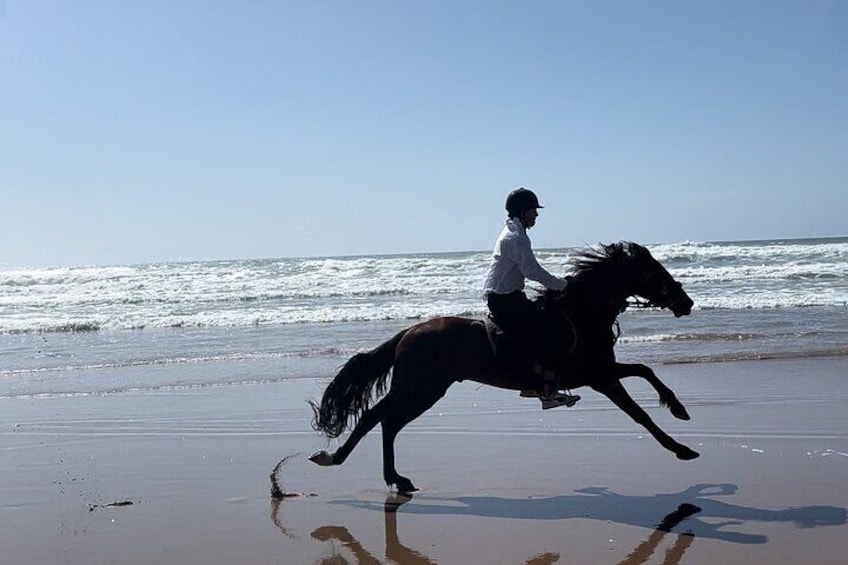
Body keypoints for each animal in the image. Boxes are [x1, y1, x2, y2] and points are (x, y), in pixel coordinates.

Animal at [309, 241, 697, 493]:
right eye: (652, 271)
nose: (686, 303)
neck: (582, 313)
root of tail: (407, 333)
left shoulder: (602, 371)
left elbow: (646, 370)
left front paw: (679, 409)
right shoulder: (598, 377)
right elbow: (639, 414)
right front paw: (682, 449)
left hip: (427, 392)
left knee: (389, 423)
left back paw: (397, 479)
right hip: (416, 388)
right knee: (373, 417)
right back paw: (335, 458)